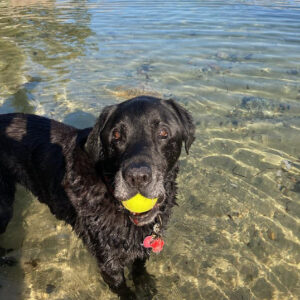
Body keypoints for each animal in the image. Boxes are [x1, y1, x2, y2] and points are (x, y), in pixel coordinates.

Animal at [0, 96, 195, 298]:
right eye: (116, 135)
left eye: (163, 132)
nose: (137, 177)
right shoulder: (108, 262)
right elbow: (123, 289)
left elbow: (139, 266)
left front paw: (144, 284)